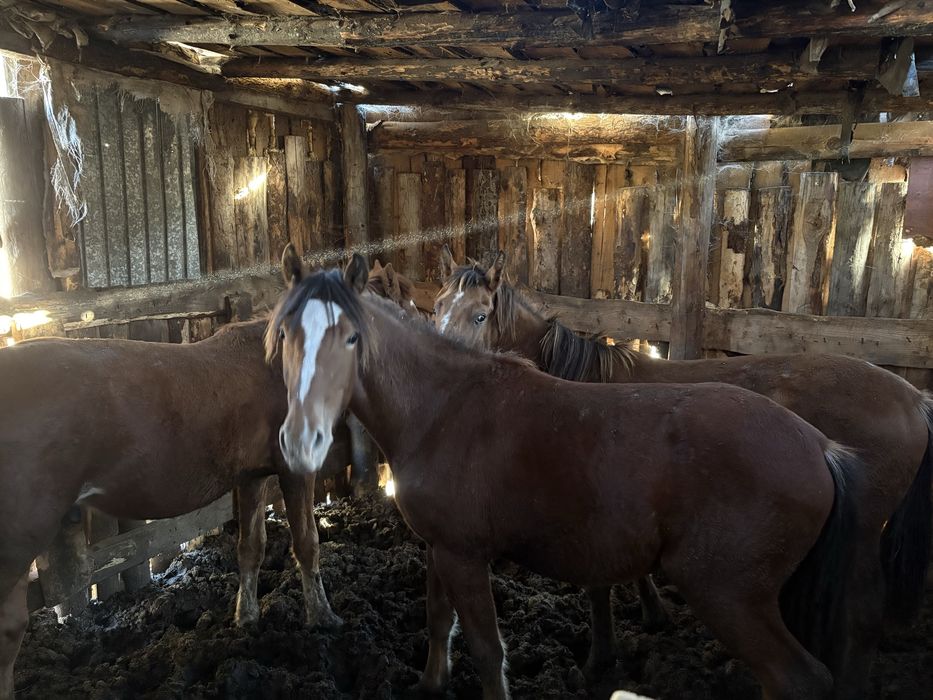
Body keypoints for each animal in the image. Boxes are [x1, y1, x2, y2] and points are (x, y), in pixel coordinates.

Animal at [0, 262, 420, 700]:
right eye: (406, 307)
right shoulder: (295, 472)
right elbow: (307, 544)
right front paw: (323, 617)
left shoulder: (252, 478)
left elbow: (251, 548)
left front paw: (247, 618)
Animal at [266, 250, 862, 700]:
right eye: (286, 334)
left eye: (352, 337)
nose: (300, 440)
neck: (443, 407)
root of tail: (820, 447)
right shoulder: (438, 546)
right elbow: (438, 621)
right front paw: (431, 685)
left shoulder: (464, 554)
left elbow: (488, 649)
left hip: (728, 596)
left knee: (798, 679)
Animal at [432, 246, 933, 699]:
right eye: (436, 306)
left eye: (480, 316)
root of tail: (913, 398)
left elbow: (598, 588)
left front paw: (602, 658)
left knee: (862, 614)